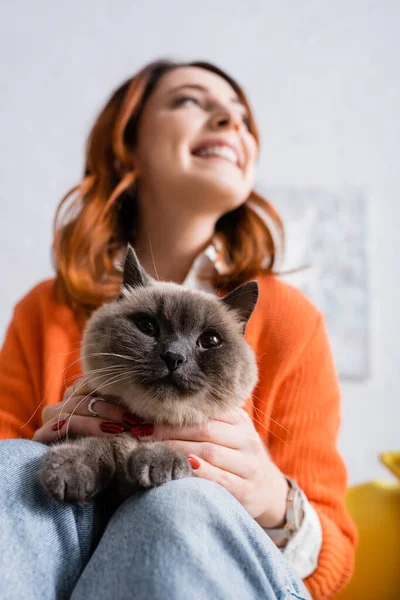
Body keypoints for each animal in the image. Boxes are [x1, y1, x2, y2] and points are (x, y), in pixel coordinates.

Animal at [38, 246, 260, 504]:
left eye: (210, 341)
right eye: (147, 326)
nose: (174, 357)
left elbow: (187, 457)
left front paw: (157, 462)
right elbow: (94, 441)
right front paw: (70, 469)